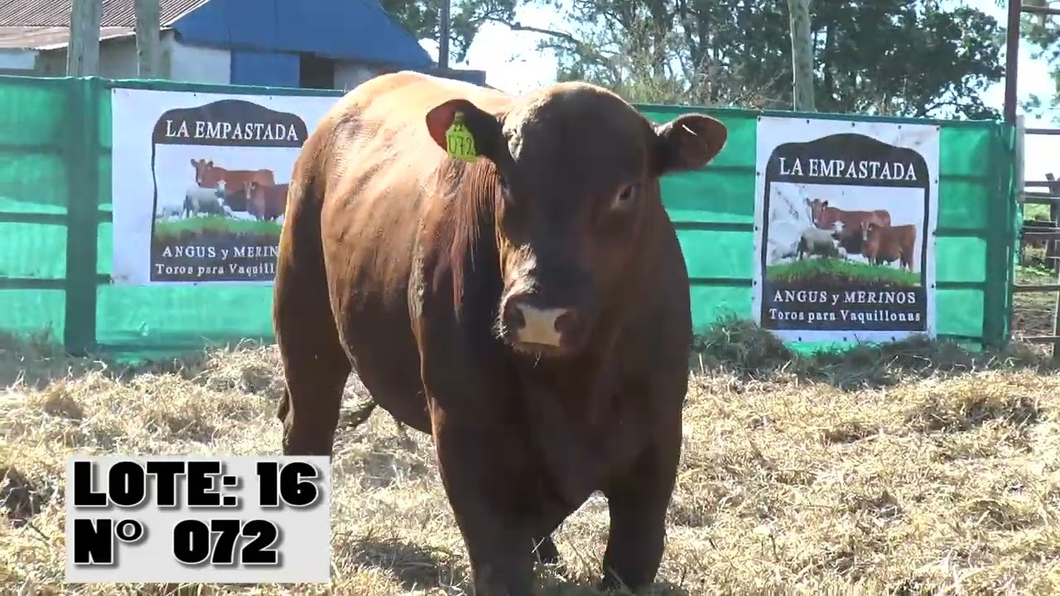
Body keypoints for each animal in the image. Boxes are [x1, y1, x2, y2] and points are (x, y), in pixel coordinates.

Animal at [271, 70, 729, 593]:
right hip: (306, 325)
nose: (540, 313)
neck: (573, 383)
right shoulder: (466, 431)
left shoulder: (655, 444)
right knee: (307, 426)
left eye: (626, 191)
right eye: (507, 181)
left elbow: (632, 558)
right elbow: (501, 562)